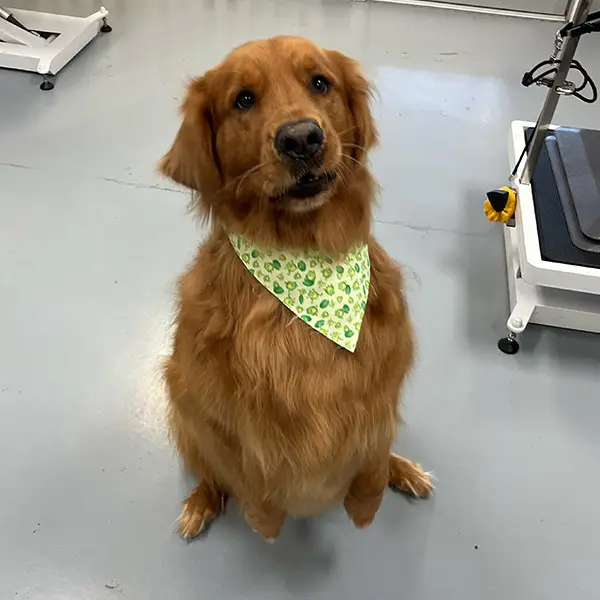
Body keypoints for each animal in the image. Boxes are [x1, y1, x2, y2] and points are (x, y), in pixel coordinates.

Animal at [159, 37, 432, 544]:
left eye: (320, 82)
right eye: (243, 99)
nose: (302, 138)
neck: (306, 260)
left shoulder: (382, 383)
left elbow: (373, 455)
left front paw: (365, 507)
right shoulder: (214, 410)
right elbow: (247, 469)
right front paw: (266, 522)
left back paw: (404, 471)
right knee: (210, 472)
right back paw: (201, 503)